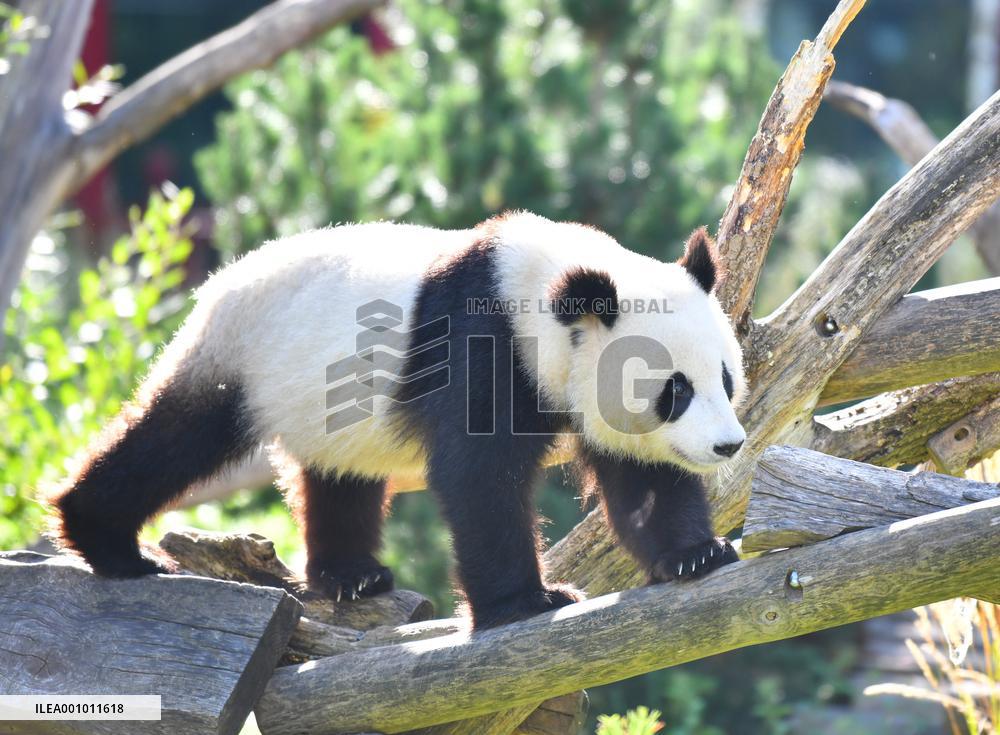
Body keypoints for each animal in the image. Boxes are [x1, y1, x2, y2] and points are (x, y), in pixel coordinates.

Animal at [52, 211, 747, 629]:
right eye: (674, 391)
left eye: (725, 378)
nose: (728, 445)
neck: (544, 293)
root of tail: (221, 278)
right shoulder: (483, 344)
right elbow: (477, 477)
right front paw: (530, 602)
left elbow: (643, 478)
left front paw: (694, 556)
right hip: (242, 355)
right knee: (176, 438)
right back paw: (110, 543)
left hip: (326, 402)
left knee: (339, 473)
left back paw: (351, 575)